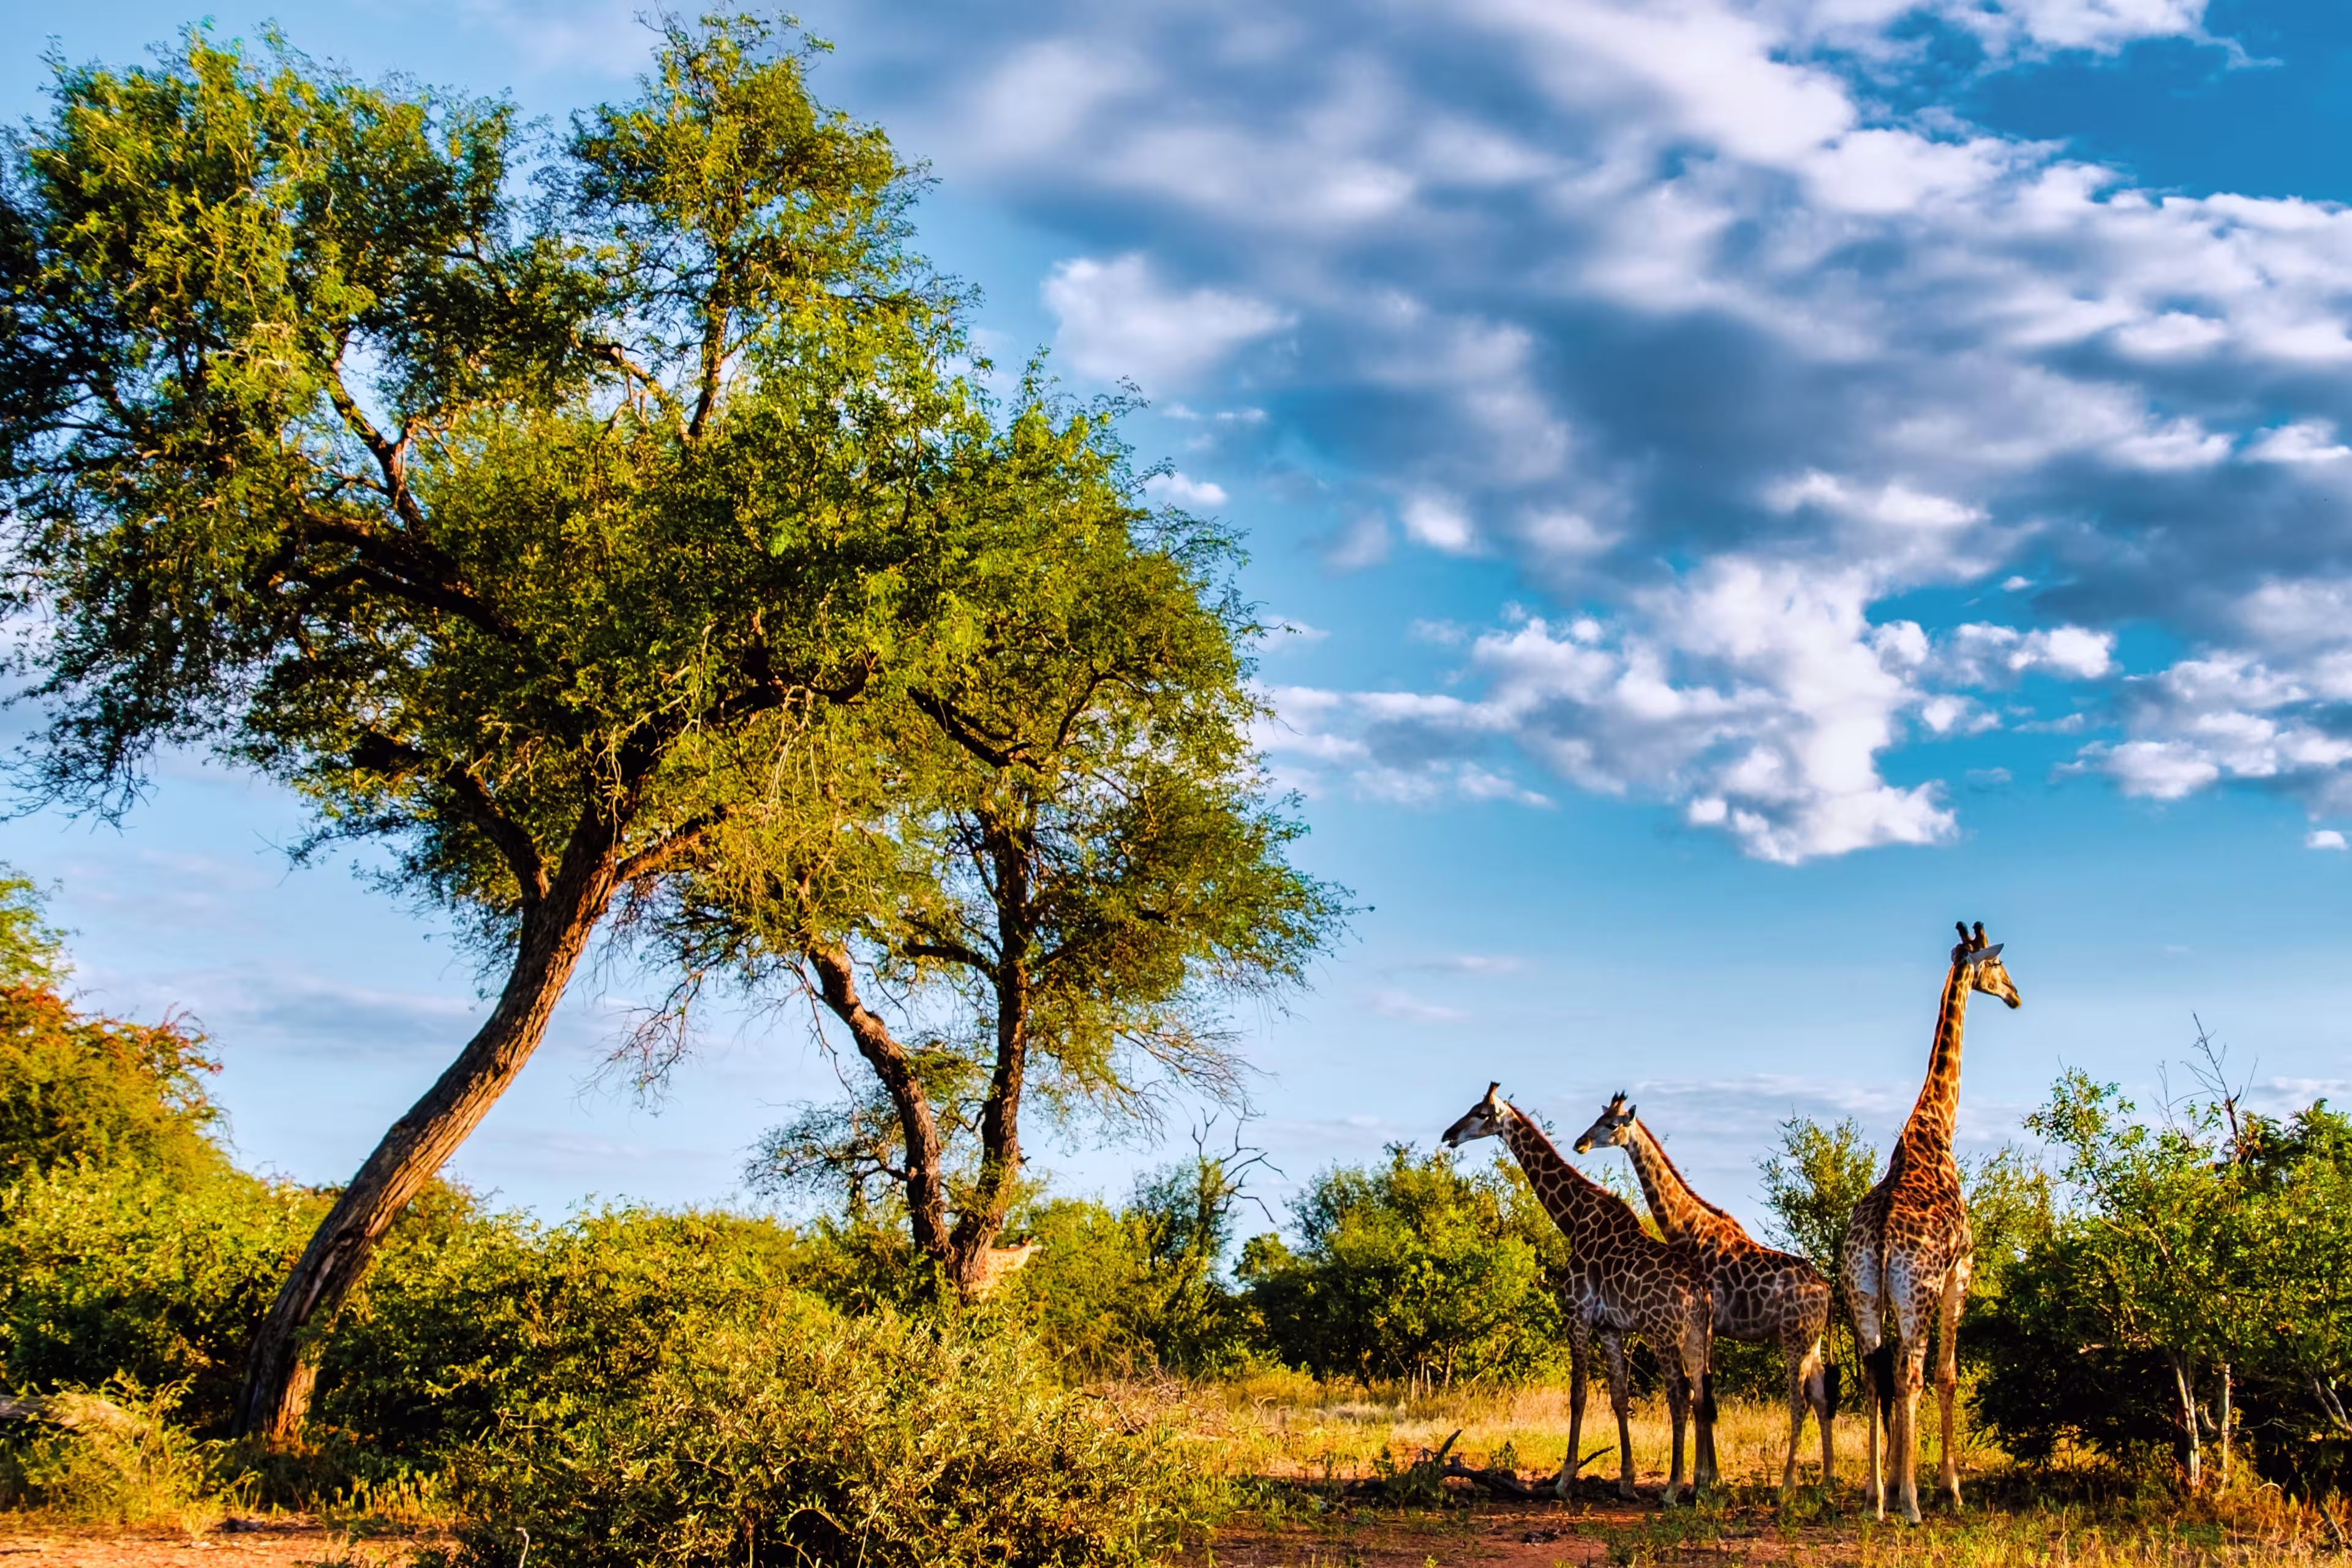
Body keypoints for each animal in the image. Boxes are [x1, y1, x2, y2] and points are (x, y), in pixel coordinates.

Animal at [1443, 1083, 1717, 1505]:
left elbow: (1578, 1394)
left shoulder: (1577, 1313)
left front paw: (1564, 1480)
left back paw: (1673, 1488)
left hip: (1663, 1333)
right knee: (1701, 1393)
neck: (1573, 1221)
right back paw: (1699, 1485)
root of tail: (1701, 1292)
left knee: (1680, 1393)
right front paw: (1626, 1482)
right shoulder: (1609, 1326)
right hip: (1696, 1336)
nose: (1448, 1135)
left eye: (1480, 1114)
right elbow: (1619, 1396)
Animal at [1574, 1095, 1837, 1500]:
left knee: (1799, 1400)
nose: (1581, 1143)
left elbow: (1702, 1398)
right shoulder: (1710, 1329)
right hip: (1814, 1341)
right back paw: (1826, 1481)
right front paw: (1711, 1478)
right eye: (1597, 1118)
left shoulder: (1706, 1324)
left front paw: (1703, 1481)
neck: (1687, 1228)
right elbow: (1706, 1398)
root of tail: (1826, 1289)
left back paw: (1787, 1486)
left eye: (1612, 1125)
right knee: (1822, 1398)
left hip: (1794, 1339)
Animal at [1840, 921, 2020, 1525]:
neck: (1935, 1126)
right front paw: (1948, 1488)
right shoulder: (1960, 1272)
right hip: (1916, 1293)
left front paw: (1894, 1484)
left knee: (1877, 1373)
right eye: (1998, 966)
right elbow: (1948, 1375)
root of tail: (1878, 1242)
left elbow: (1893, 1378)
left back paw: (1875, 1499)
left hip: (1864, 1294)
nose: (2015, 996)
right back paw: (1914, 1505)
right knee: (1911, 1375)